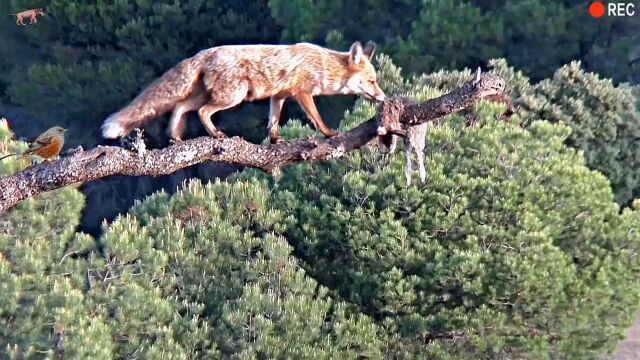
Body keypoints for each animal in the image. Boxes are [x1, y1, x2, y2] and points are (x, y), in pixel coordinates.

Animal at [101, 40, 384, 143]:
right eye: (371, 81)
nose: (382, 97)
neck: (322, 65)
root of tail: (203, 53)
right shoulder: (302, 93)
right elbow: (317, 119)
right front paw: (329, 134)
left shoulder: (278, 96)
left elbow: (273, 122)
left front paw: (275, 141)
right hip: (232, 97)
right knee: (203, 112)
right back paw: (215, 135)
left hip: (211, 95)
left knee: (180, 108)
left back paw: (176, 137)